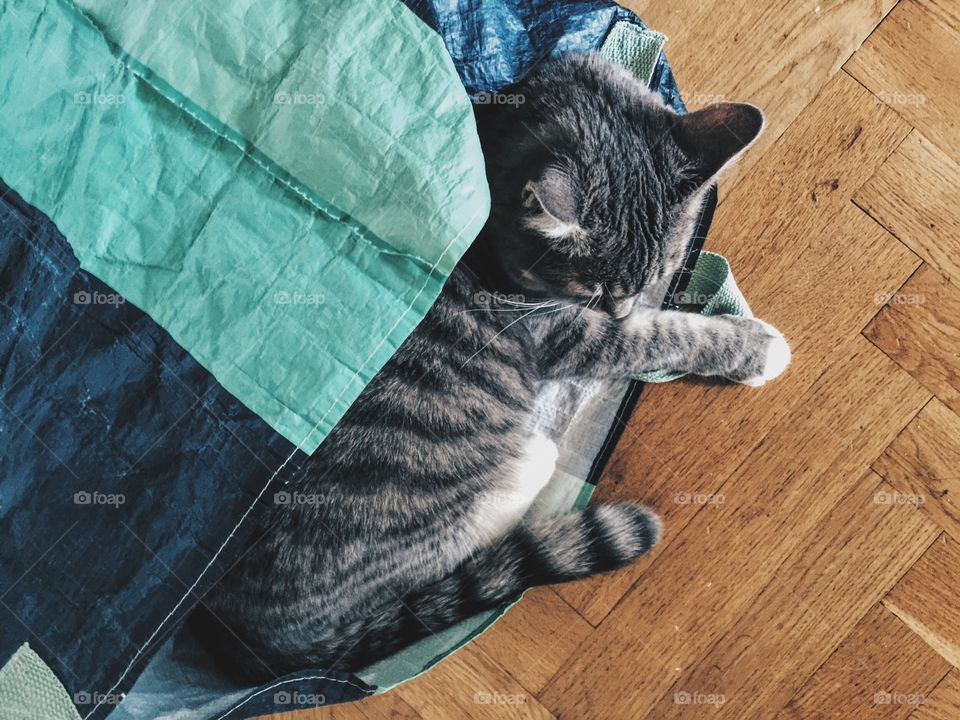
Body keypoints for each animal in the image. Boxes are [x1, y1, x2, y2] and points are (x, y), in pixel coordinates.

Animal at [193, 52, 788, 680]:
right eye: (596, 290)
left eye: (660, 273)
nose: (623, 306)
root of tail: (278, 650)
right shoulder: (566, 334)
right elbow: (662, 335)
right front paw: (753, 347)